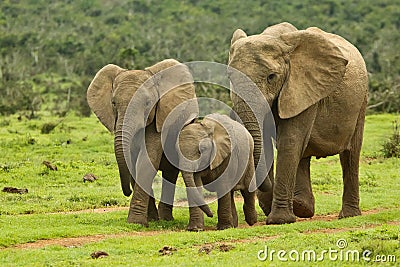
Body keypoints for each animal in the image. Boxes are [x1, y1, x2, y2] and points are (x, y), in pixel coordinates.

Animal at [86, 58, 198, 226]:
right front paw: (147, 220)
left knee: (170, 172)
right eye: (113, 103)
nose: (127, 192)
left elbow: (146, 161)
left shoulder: (160, 120)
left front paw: (136, 222)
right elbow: (133, 162)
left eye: (147, 103)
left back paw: (166, 219)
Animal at [228, 22, 368, 225]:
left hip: (361, 101)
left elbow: (290, 141)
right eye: (230, 78)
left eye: (271, 77)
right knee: (304, 153)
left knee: (350, 154)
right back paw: (303, 207)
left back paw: (347, 215)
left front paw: (279, 220)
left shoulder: (303, 89)